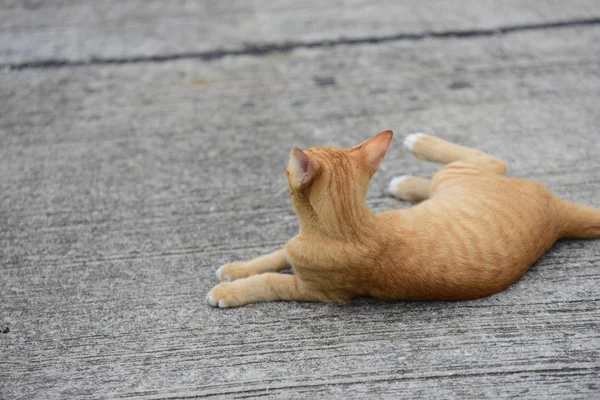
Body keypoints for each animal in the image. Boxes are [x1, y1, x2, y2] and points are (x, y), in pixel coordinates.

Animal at [207, 130, 600, 306]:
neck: (351, 225)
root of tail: (557, 211)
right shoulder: (294, 247)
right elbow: (275, 254)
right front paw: (237, 268)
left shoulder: (318, 292)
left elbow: (270, 280)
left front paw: (229, 290)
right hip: (449, 187)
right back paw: (406, 182)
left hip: (458, 174)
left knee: (491, 158)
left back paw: (420, 143)